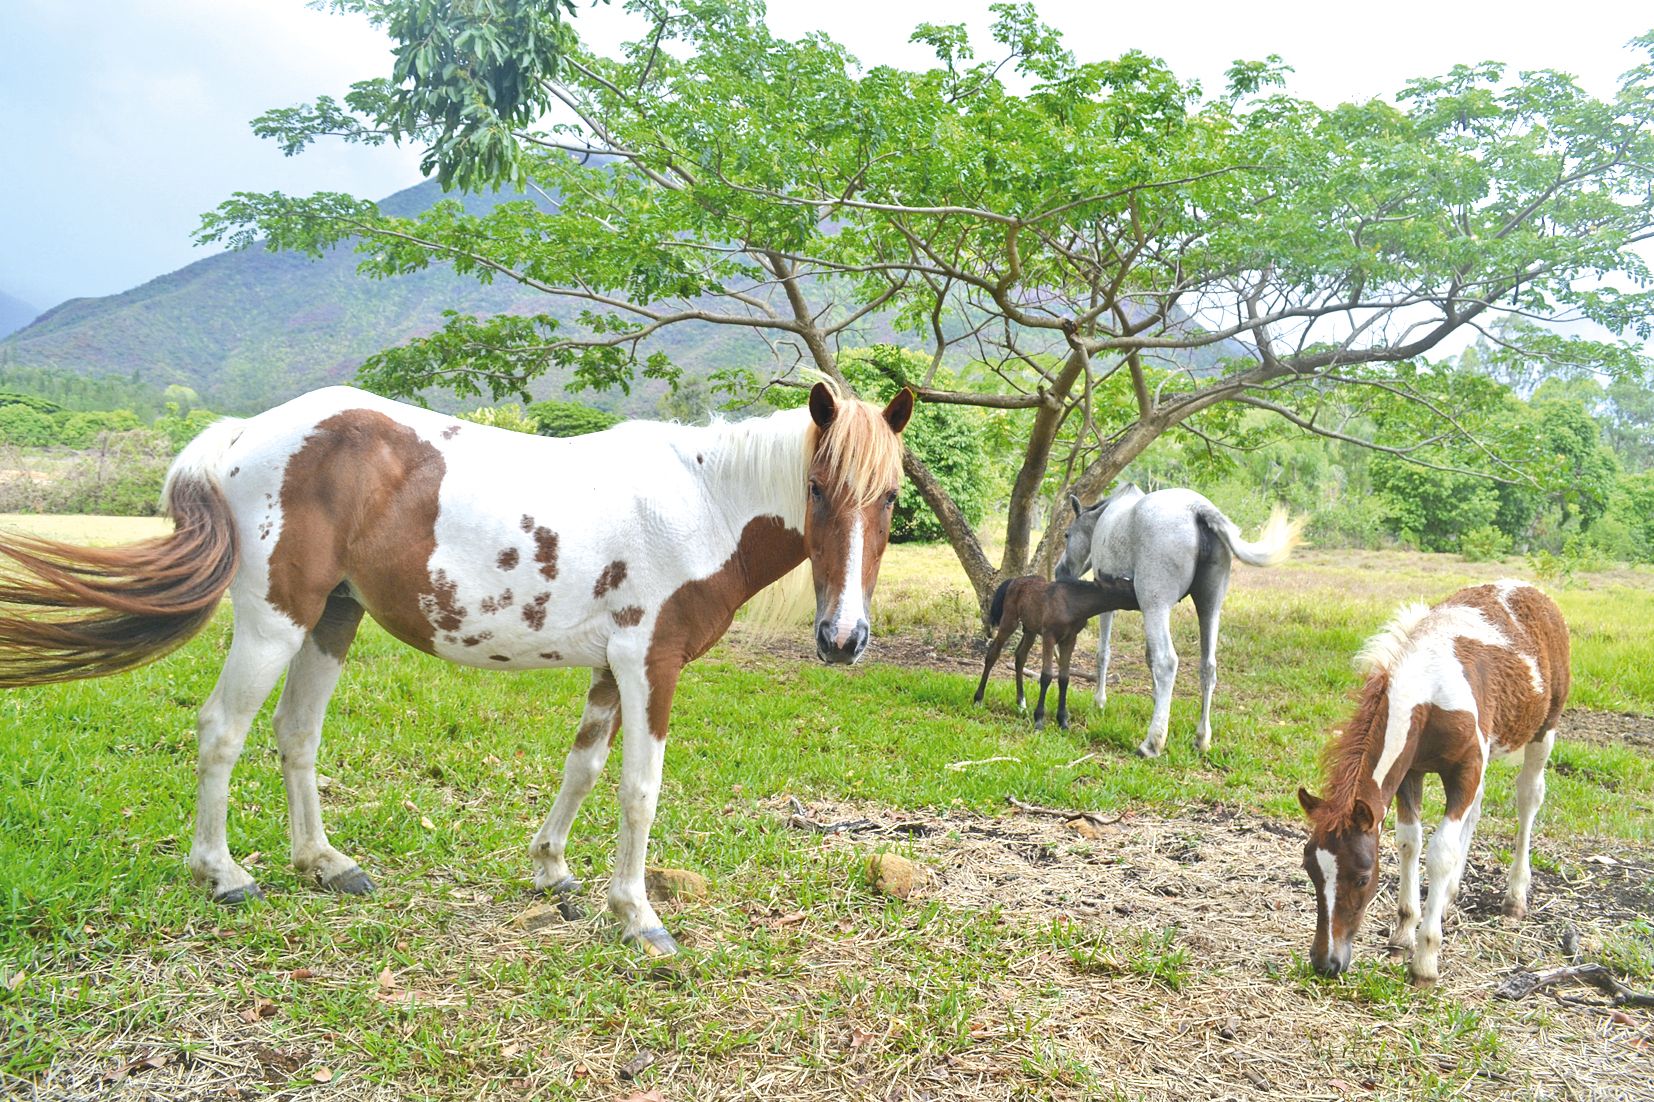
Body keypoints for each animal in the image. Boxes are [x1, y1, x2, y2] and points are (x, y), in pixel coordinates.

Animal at [0, 380, 919, 953]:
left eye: (890, 498)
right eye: (818, 489)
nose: (843, 638)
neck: (699, 506)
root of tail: (243, 432)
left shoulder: (609, 670)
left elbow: (582, 768)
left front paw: (553, 871)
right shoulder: (649, 664)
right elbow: (638, 790)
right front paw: (637, 916)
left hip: (333, 620)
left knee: (297, 734)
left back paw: (324, 863)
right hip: (274, 622)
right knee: (221, 731)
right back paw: (223, 874)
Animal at [965, 569, 1137, 724]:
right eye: (1132, 589)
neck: (1073, 603)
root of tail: (1013, 580)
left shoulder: (1069, 639)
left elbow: (1064, 677)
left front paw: (1063, 721)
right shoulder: (1049, 636)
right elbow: (1046, 675)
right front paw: (1039, 719)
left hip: (1030, 629)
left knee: (1020, 656)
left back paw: (1021, 704)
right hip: (1010, 621)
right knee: (993, 653)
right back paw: (978, 700)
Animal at [1051, 486, 1296, 754]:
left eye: (1066, 534)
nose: (1059, 572)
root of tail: (1197, 508)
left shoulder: (1114, 605)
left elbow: (1104, 653)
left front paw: (1100, 701)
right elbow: (1149, 658)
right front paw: (1156, 700)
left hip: (1158, 607)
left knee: (1167, 661)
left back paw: (1152, 742)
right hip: (1208, 607)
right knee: (1207, 666)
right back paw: (1201, 738)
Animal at [1296, 579, 1567, 979]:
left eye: (1362, 877)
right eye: (1312, 870)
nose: (1326, 962)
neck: (1428, 692)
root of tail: (1527, 588)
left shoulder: (1465, 769)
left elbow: (1440, 852)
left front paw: (1425, 959)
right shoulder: (1412, 771)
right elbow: (1410, 841)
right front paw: (1403, 934)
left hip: (1544, 729)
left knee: (1528, 798)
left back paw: (1515, 897)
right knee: (1477, 808)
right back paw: (1451, 896)